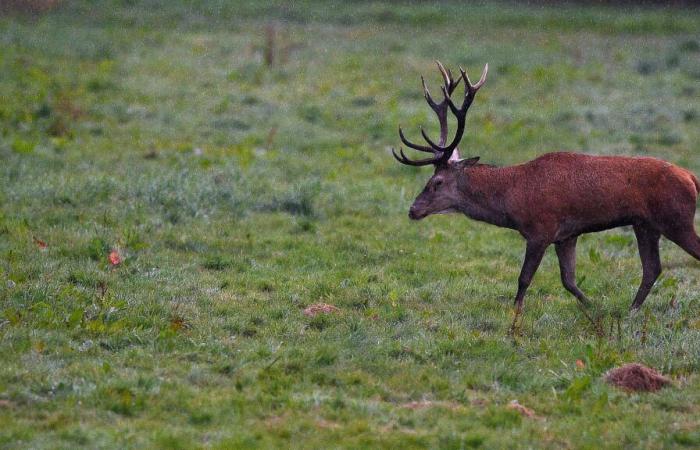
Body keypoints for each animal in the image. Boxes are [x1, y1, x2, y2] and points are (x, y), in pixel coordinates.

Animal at [394, 61, 700, 332]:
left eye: (437, 182)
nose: (413, 209)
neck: (512, 199)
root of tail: (691, 177)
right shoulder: (566, 235)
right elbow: (569, 280)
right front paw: (597, 308)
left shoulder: (540, 230)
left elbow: (524, 278)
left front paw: (514, 318)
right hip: (645, 224)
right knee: (652, 268)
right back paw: (630, 311)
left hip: (676, 219)